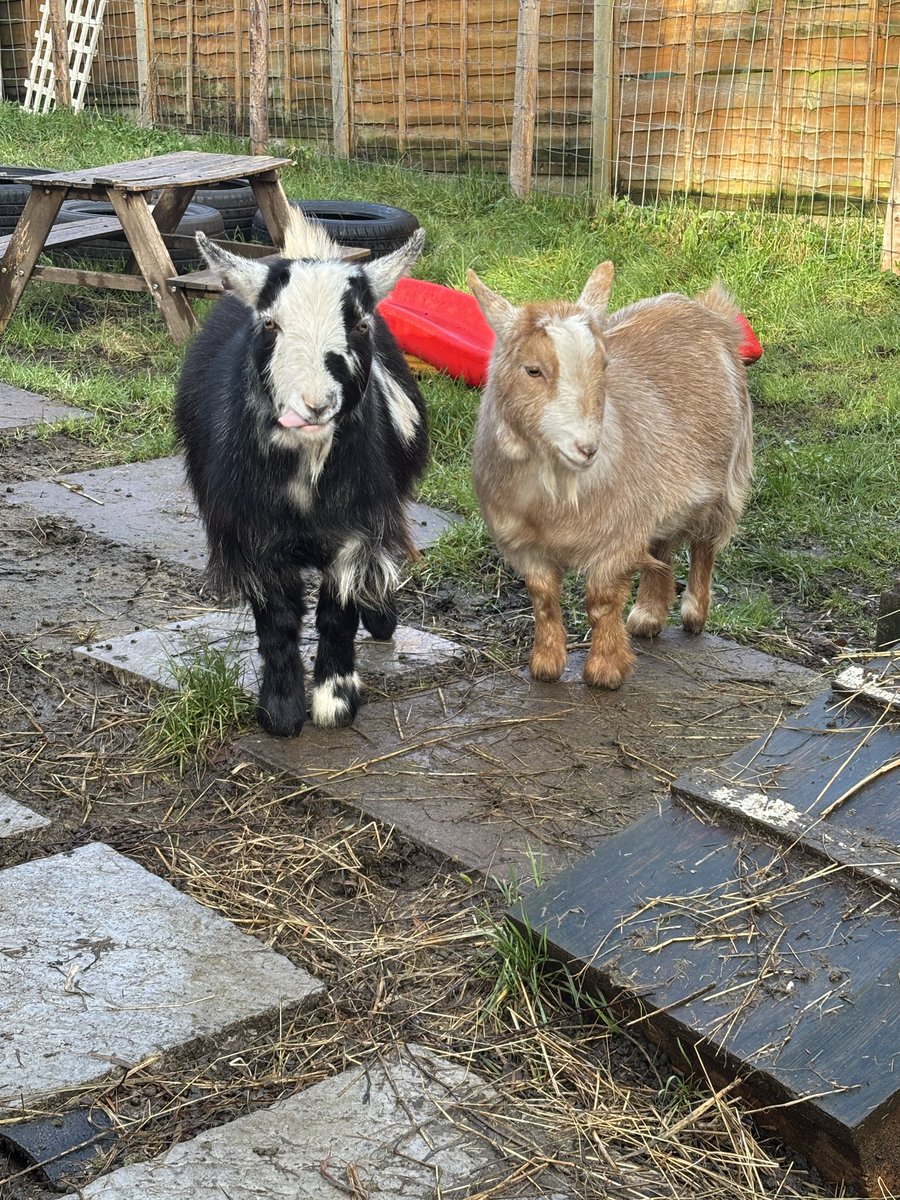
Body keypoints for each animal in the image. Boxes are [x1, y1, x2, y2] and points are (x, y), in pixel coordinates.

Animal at [175, 211, 429, 737]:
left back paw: (382, 616)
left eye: (361, 323)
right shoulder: (253, 536)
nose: (314, 405)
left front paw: (335, 701)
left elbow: (337, 612)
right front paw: (282, 709)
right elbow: (278, 619)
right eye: (271, 324)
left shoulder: (358, 531)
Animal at [467, 261, 752, 690]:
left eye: (603, 365)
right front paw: (545, 666)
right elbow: (543, 598)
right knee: (661, 545)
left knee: (704, 546)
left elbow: (601, 602)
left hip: (726, 478)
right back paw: (648, 616)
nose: (587, 447)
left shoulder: (615, 539)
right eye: (532, 370)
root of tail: (704, 307)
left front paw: (605, 672)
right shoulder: (523, 543)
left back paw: (692, 614)